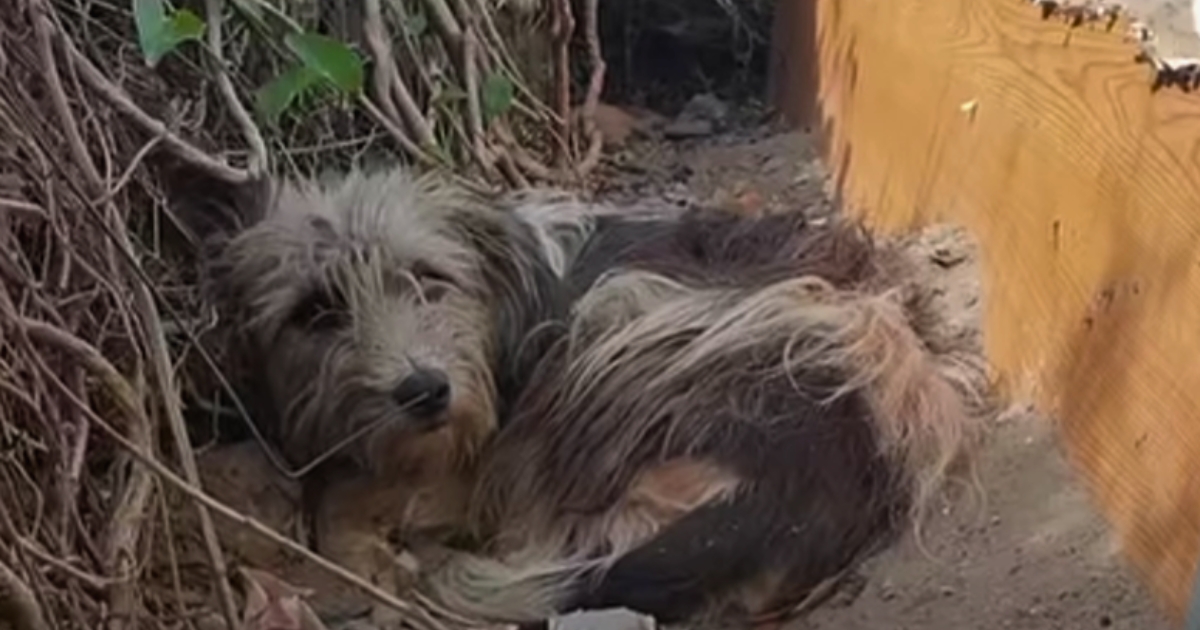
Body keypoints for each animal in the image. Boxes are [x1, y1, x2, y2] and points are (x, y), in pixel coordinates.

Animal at [166, 164, 984, 624]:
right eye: (314, 311)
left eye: (429, 278)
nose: (423, 392)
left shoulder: (477, 447)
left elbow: (354, 499)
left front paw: (359, 538)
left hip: (622, 320)